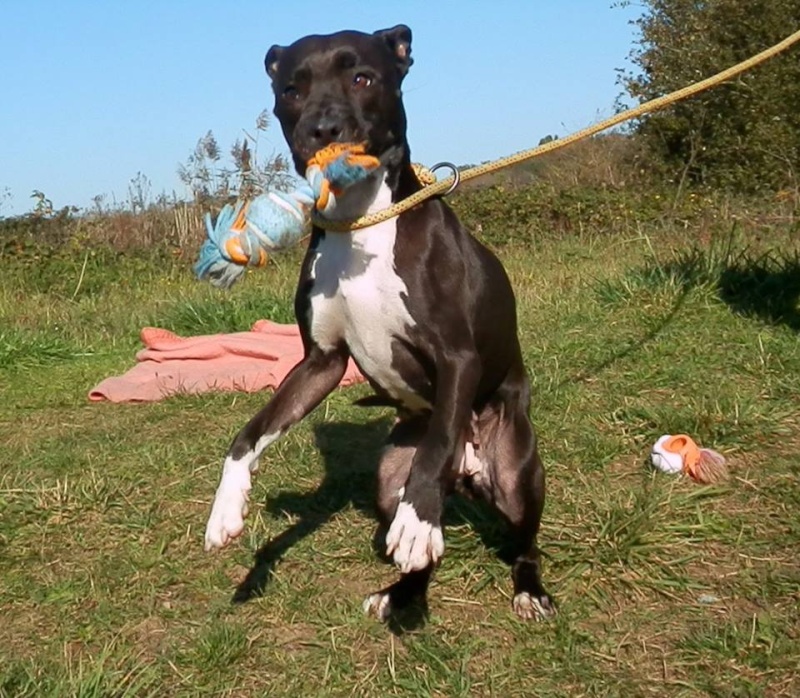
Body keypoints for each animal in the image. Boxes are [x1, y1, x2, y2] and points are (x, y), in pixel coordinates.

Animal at [203, 24, 552, 616]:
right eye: (292, 89)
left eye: (363, 78)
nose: (323, 127)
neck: (362, 225)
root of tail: (469, 467)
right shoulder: (319, 363)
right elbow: (249, 433)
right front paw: (227, 508)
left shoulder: (458, 358)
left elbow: (436, 448)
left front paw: (418, 521)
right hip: (389, 475)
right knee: (419, 538)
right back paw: (402, 592)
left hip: (516, 472)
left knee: (520, 537)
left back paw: (525, 587)